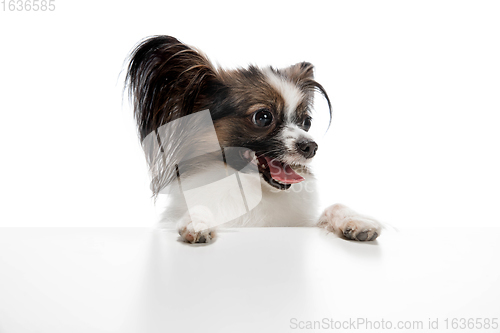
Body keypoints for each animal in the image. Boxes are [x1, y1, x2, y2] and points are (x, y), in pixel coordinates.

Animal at [126, 36, 382, 243]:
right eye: (263, 117)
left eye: (306, 122)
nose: (311, 147)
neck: (249, 187)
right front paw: (196, 222)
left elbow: (335, 206)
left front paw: (357, 221)